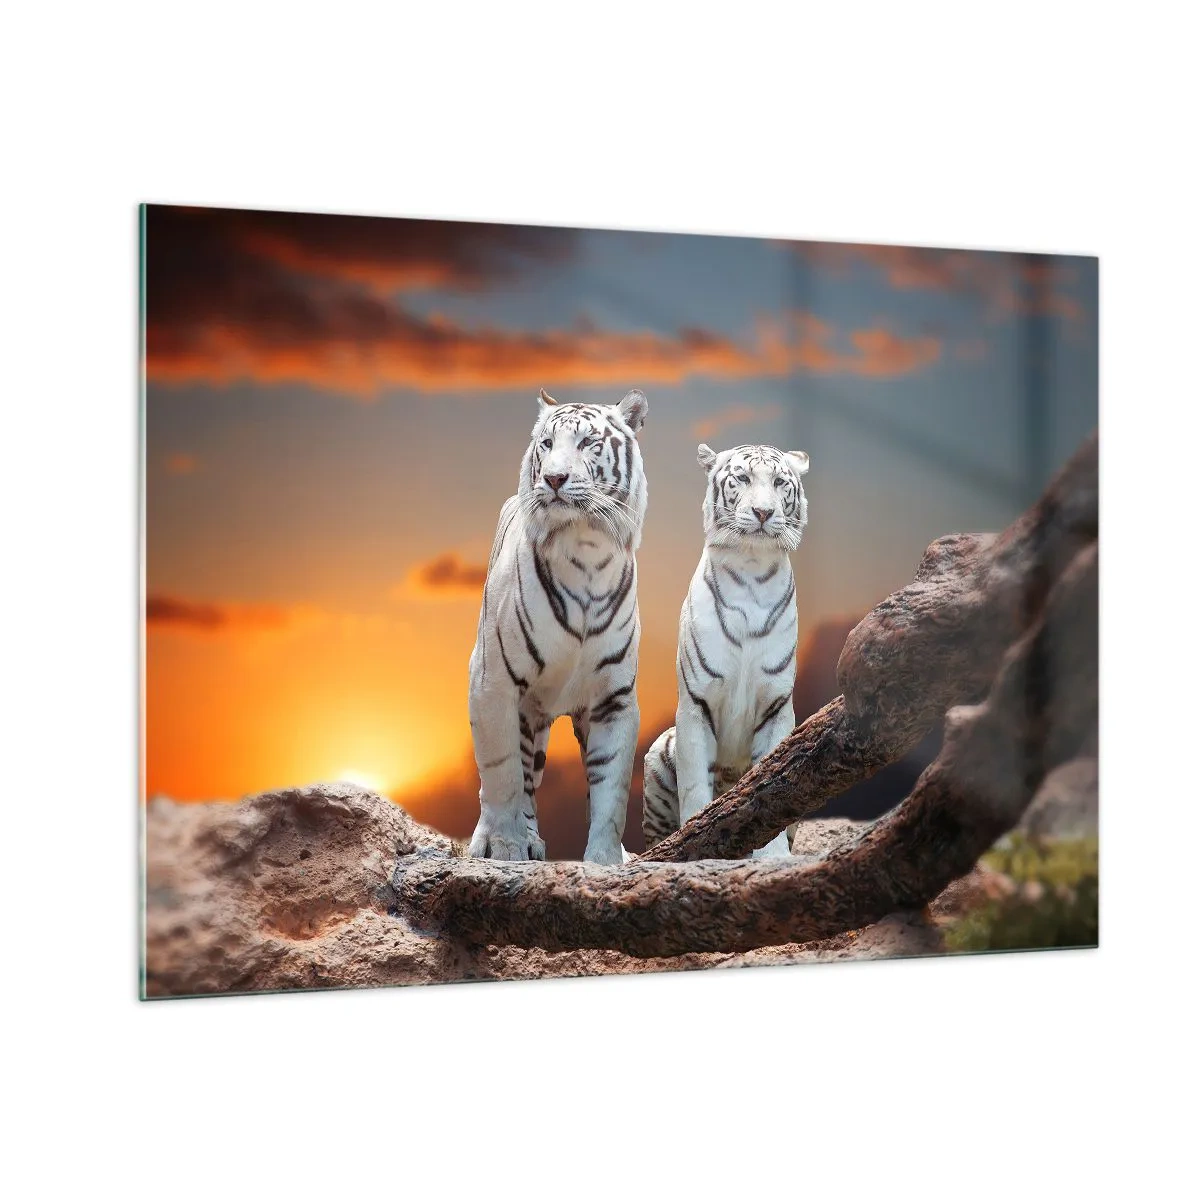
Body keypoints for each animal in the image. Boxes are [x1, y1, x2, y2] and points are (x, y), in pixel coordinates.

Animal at [467, 386, 649, 864]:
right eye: (547, 444)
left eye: (588, 443)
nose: (553, 479)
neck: (586, 549)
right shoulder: (493, 681)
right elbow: (502, 775)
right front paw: (504, 847)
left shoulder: (614, 698)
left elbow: (611, 789)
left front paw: (606, 860)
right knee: (519, 777)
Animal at [642, 441, 810, 858]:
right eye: (743, 478)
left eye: (779, 482)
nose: (764, 512)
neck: (752, 570)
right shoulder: (695, 703)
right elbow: (694, 786)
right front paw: (693, 840)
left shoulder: (777, 705)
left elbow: (773, 783)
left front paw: (773, 857)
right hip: (659, 752)